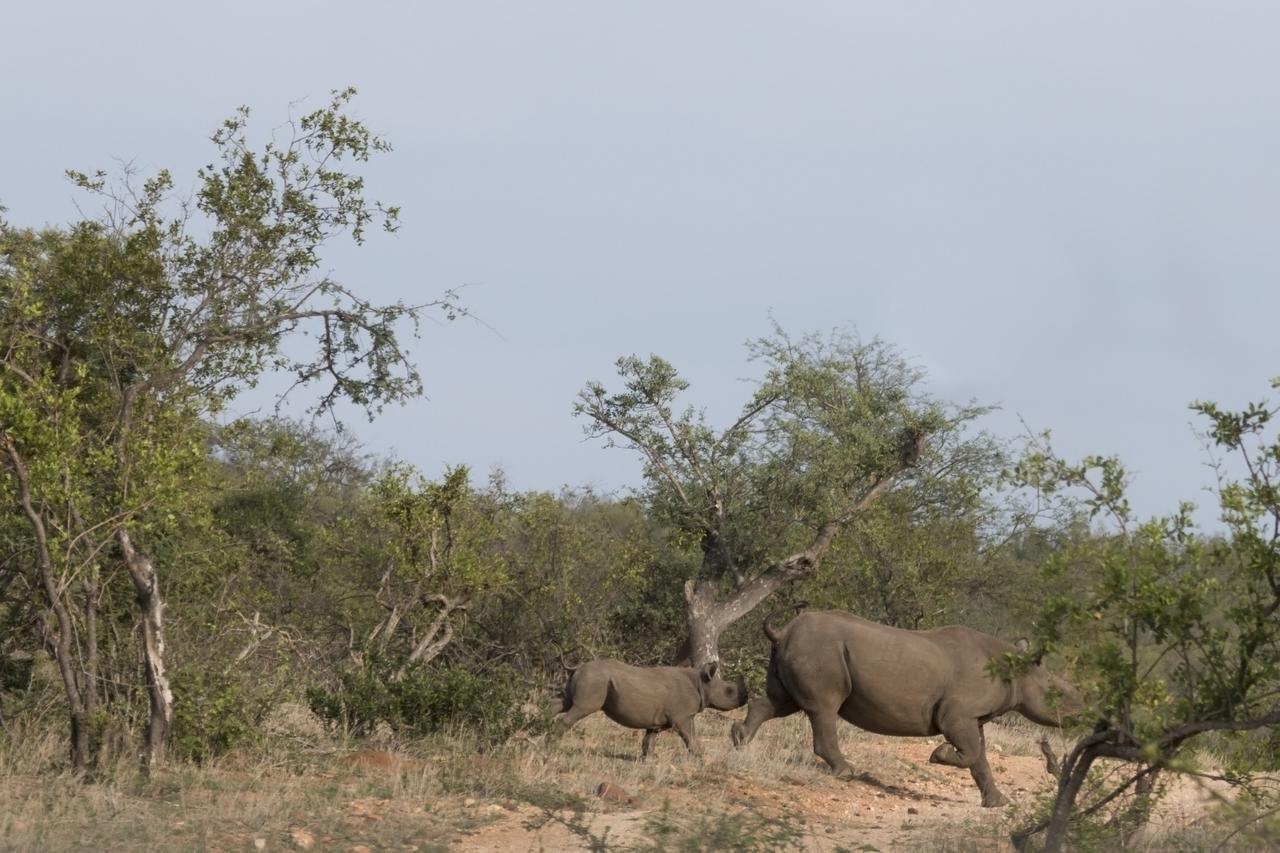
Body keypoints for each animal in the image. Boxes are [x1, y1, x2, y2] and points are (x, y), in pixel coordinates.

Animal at [552, 653, 747, 753]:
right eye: (729, 691)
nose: (745, 698)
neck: (702, 682)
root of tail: (577, 667)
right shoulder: (682, 717)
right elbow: (690, 737)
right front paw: (700, 759)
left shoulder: (656, 721)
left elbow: (649, 741)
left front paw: (646, 762)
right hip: (595, 680)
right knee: (580, 708)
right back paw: (552, 744)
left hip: (590, 679)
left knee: (566, 702)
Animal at [732, 607, 1080, 799]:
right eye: (1059, 695)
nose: (1081, 713)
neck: (1014, 669)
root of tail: (784, 631)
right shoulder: (956, 715)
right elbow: (970, 753)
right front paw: (938, 755)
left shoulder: (973, 717)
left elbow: (980, 758)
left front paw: (997, 802)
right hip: (820, 651)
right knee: (824, 709)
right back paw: (847, 772)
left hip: (800, 649)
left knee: (782, 702)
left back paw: (739, 741)